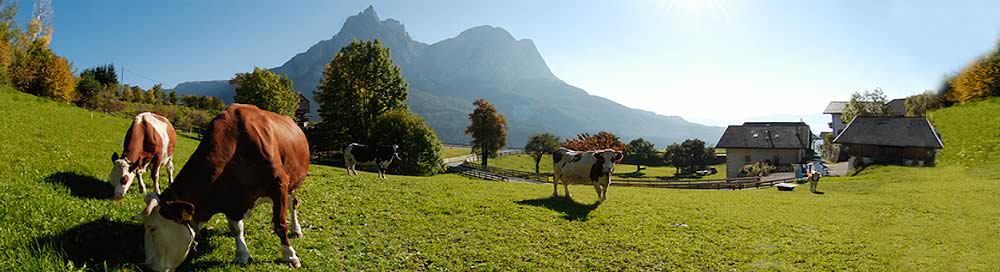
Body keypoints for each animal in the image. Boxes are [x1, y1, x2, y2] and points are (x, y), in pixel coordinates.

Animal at [138, 104, 308, 272]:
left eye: (152, 228)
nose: (147, 265)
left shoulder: (279, 185)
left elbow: (280, 225)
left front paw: (290, 256)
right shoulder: (230, 199)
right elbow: (236, 228)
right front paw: (242, 255)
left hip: (292, 184)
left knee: (293, 204)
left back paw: (297, 230)